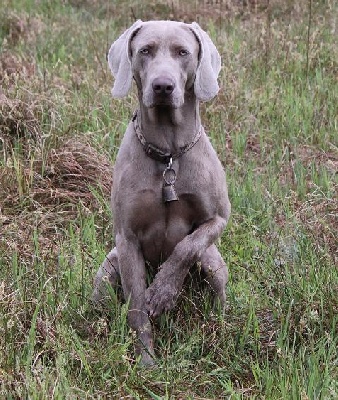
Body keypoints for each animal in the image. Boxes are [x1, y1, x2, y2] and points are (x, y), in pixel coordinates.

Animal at [91, 21, 231, 366]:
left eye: (183, 52)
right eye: (145, 50)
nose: (163, 87)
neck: (168, 153)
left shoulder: (220, 217)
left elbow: (186, 247)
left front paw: (164, 291)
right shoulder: (126, 239)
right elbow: (138, 308)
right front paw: (146, 361)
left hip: (214, 263)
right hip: (108, 268)